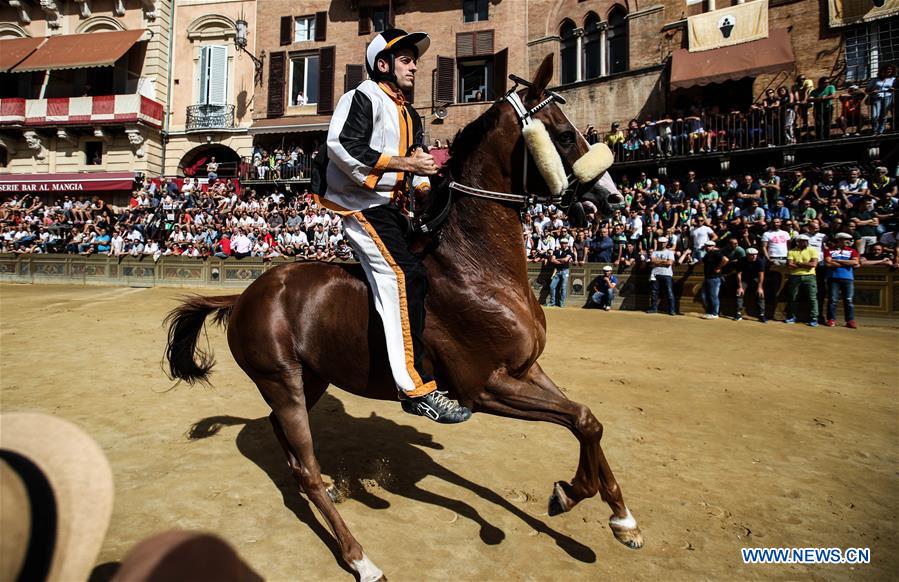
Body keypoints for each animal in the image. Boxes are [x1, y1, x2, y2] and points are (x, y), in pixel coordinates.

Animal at [167, 56, 640, 582]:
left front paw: (617, 515)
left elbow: (588, 419)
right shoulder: (485, 387)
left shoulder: (526, 369)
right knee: (303, 466)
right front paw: (576, 496)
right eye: (562, 135)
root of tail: (247, 294)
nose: (613, 198)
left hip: (311, 381)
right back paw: (359, 556)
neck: (475, 266)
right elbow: (579, 418)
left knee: (287, 446)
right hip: (283, 382)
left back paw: (328, 488)